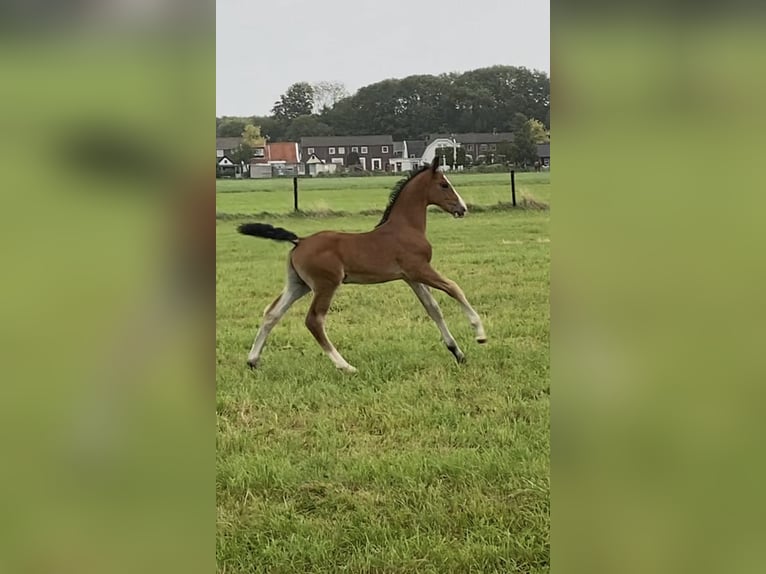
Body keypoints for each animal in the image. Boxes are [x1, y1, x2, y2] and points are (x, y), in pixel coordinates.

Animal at [238, 156, 486, 374]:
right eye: (444, 184)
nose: (462, 208)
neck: (406, 227)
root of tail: (299, 241)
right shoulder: (419, 269)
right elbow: (454, 288)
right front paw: (479, 334)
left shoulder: (411, 277)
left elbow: (433, 309)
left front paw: (457, 353)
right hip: (326, 284)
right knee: (314, 320)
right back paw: (346, 367)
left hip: (298, 285)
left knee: (272, 313)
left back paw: (253, 360)